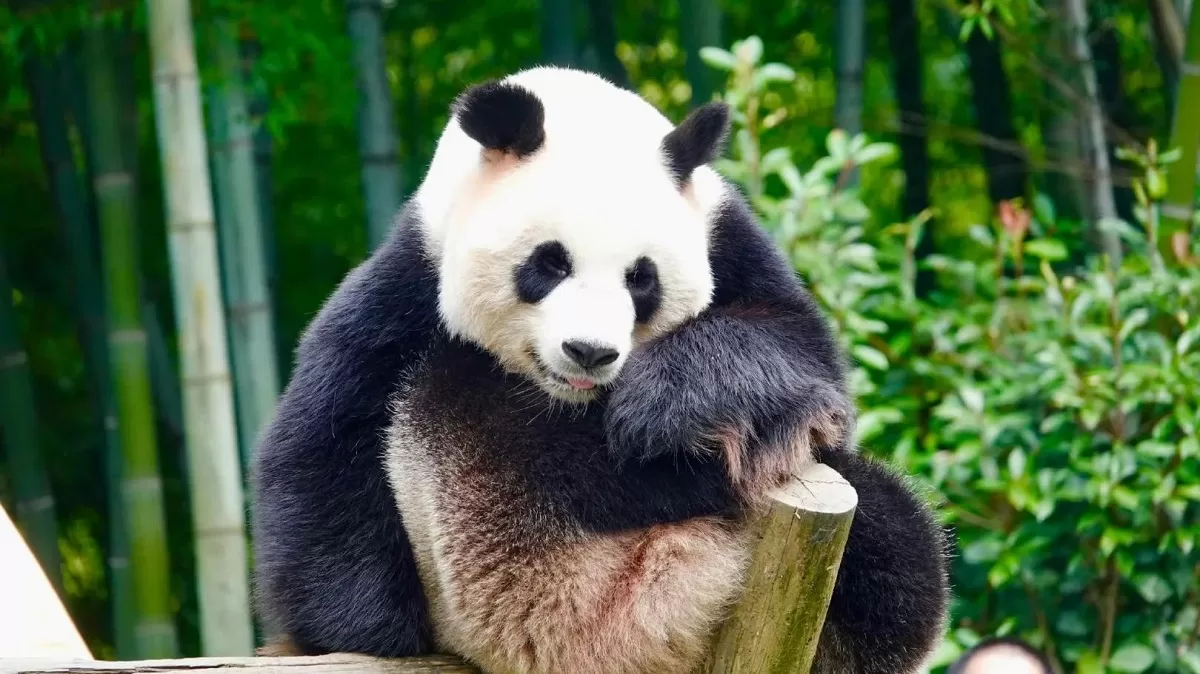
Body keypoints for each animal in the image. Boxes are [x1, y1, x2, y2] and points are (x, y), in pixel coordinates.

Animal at [250, 67, 951, 674]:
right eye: (549, 263)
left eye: (642, 278)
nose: (589, 352)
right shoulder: (409, 278)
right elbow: (321, 444)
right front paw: (370, 631)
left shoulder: (730, 240)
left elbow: (797, 346)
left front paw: (667, 407)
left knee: (900, 549)